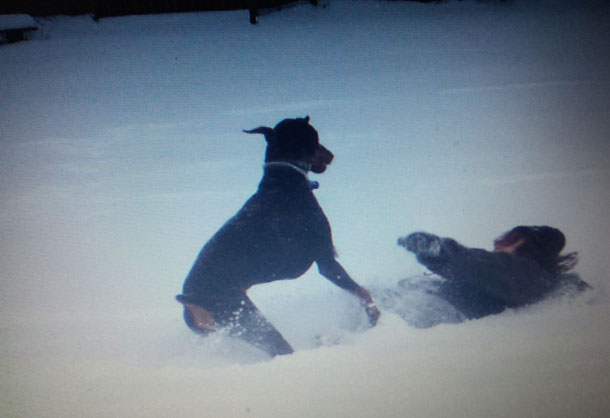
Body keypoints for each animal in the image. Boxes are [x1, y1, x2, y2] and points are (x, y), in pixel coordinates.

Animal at [176, 116, 378, 356]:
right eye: (315, 137)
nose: (331, 154)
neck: (284, 180)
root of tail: (189, 300)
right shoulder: (326, 260)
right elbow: (362, 293)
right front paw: (375, 318)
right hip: (249, 320)